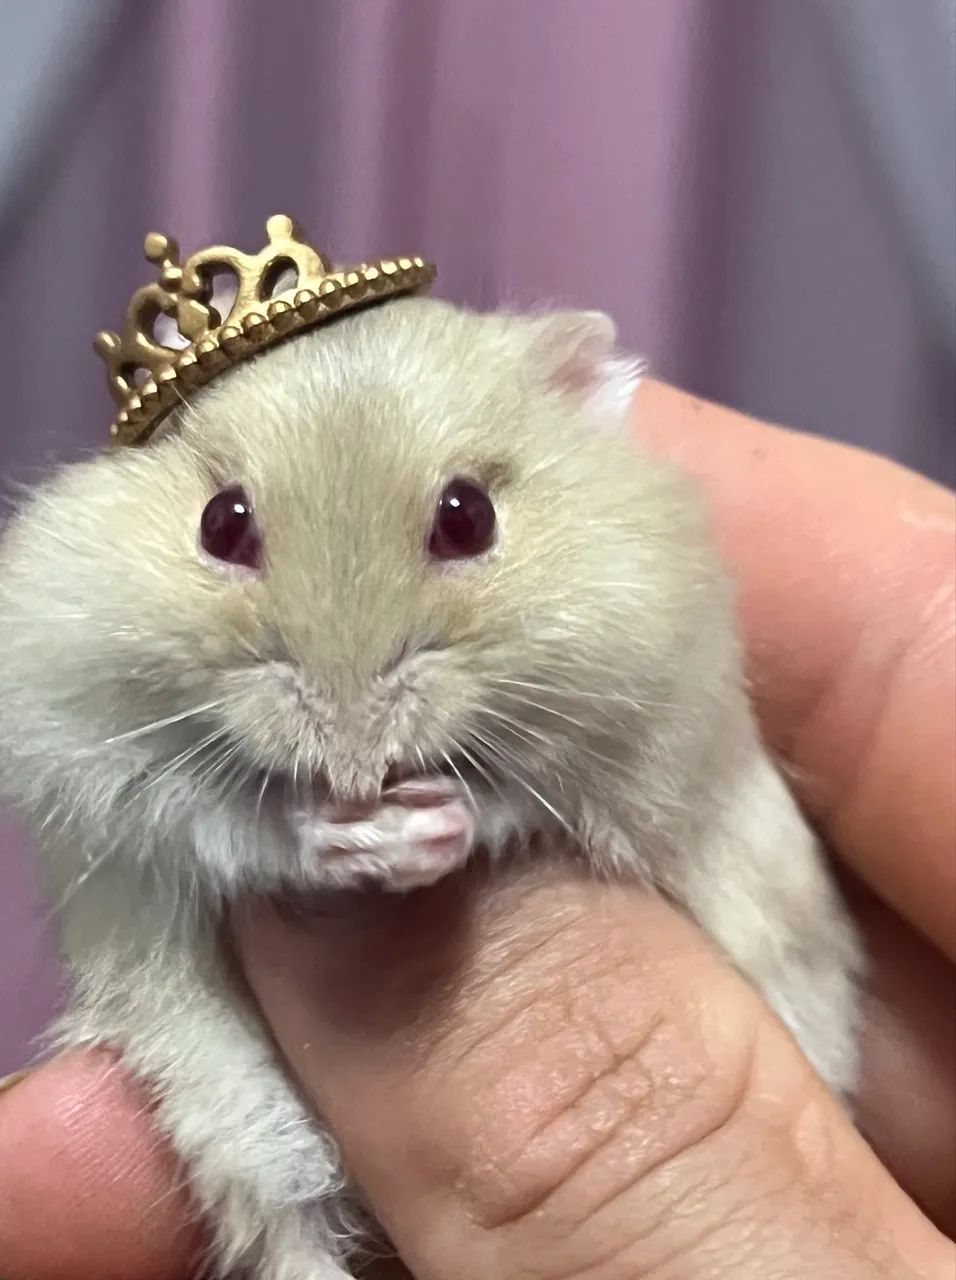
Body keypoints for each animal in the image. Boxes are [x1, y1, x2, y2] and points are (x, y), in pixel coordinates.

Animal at [0, 298, 863, 1280]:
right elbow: (224, 820)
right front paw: (345, 840)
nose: (354, 764)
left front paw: (419, 834)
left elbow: (508, 803)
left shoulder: (648, 727)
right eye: (220, 524)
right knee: (289, 1215)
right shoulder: (87, 757)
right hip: (228, 1110)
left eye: (468, 517)